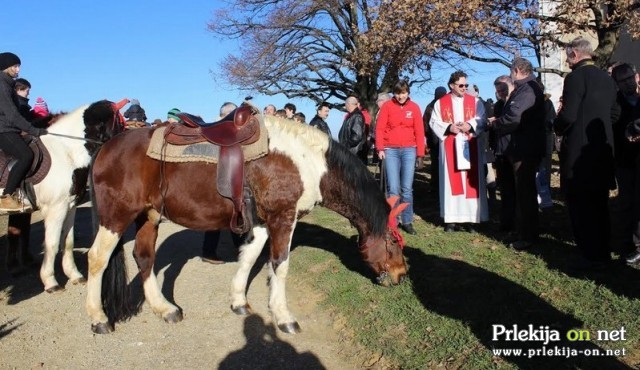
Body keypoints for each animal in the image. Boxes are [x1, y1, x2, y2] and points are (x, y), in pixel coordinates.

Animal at [3, 100, 124, 292]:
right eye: (120, 122)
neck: (65, 152)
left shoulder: (70, 205)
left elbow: (68, 241)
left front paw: (74, 274)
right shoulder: (56, 209)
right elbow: (51, 244)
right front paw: (50, 281)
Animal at [85, 114, 408, 334]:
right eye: (393, 241)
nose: (401, 275)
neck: (308, 160)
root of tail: (106, 146)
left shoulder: (263, 222)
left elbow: (250, 257)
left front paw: (239, 300)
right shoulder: (283, 218)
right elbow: (280, 265)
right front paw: (283, 316)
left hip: (149, 215)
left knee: (144, 257)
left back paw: (164, 309)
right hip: (116, 217)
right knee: (97, 259)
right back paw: (99, 318)